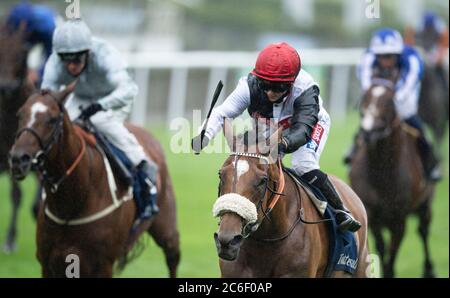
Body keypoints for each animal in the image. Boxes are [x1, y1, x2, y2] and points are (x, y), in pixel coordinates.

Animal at [7, 82, 179, 278]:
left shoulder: (102, 264)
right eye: (20, 114)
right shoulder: (49, 263)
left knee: (172, 256)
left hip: (166, 227)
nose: (18, 159)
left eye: (51, 119)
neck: (71, 205)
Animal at [348, 79, 436, 278]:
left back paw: (429, 269)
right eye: (365, 98)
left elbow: (393, 250)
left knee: (424, 231)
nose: (368, 132)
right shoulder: (372, 214)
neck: (382, 172)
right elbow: (382, 246)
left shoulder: (399, 218)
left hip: (425, 204)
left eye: (389, 102)